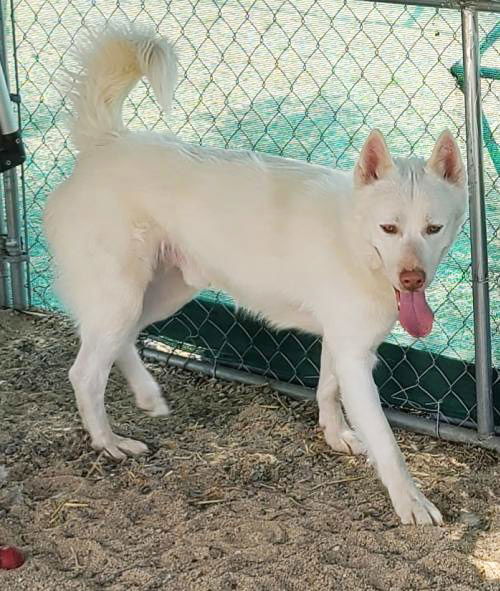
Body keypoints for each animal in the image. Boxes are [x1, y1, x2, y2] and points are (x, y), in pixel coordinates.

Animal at [44, 23, 468, 524]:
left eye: (433, 228)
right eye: (390, 228)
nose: (412, 280)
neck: (351, 234)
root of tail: (106, 142)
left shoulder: (342, 343)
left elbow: (327, 390)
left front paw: (336, 436)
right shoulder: (356, 356)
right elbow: (387, 444)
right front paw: (411, 502)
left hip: (163, 293)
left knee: (119, 343)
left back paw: (147, 395)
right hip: (123, 294)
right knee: (85, 372)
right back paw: (109, 442)